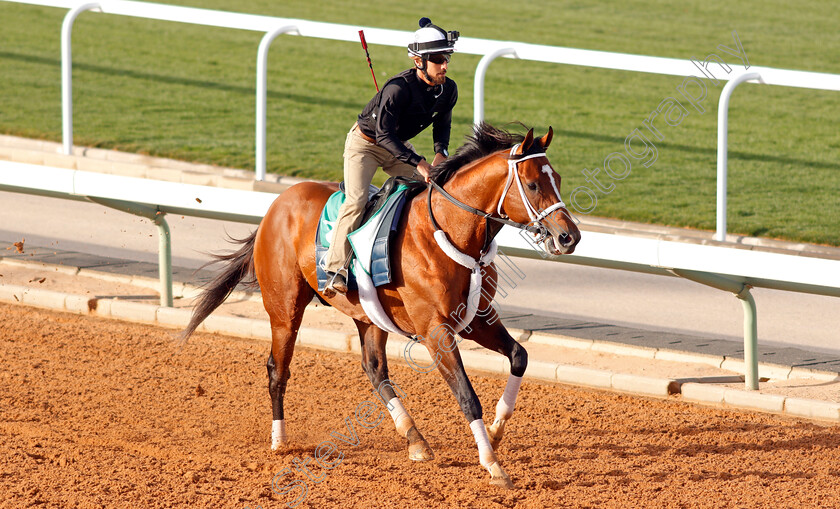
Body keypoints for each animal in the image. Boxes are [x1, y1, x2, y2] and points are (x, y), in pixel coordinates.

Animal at [182, 121, 576, 486]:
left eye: (557, 178)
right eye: (533, 184)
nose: (569, 236)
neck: (449, 231)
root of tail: (276, 205)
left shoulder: (477, 319)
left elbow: (519, 356)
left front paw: (495, 431)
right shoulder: (435, 330)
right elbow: (467, 395)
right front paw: (493, 464)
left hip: (367, 317)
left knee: (374, 369)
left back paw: (415, 439)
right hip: (285, 309)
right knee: (278, 369)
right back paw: (279, 440)